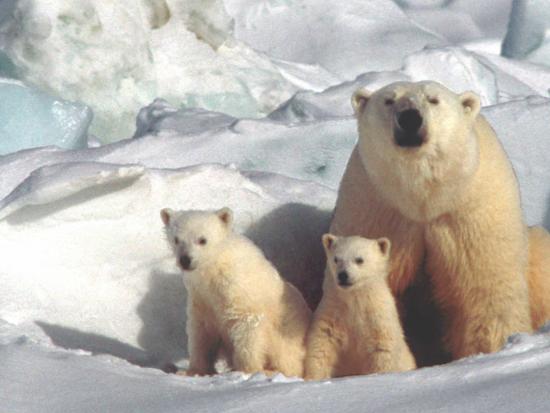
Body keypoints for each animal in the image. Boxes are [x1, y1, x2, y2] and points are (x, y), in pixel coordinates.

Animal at [332, 79, 550, 360]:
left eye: (433, 99)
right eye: (389, 100)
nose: (410, 118)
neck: (424, 198)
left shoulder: (469, 213)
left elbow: (483, 288)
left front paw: (490, 348)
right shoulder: (378, 209)